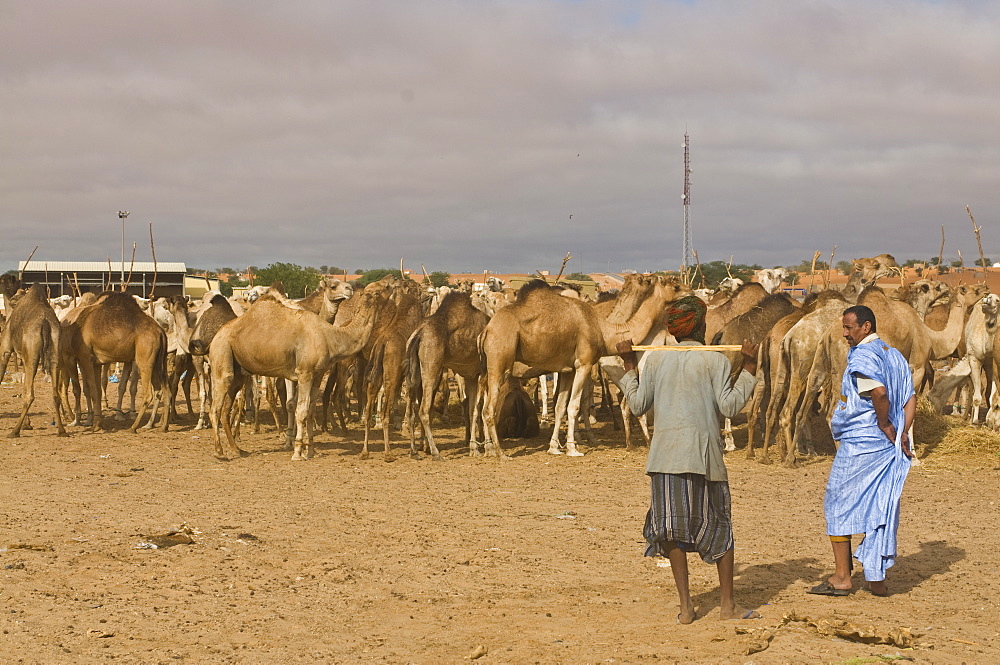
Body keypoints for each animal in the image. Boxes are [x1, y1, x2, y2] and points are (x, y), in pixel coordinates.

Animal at [0, 284, 67, 436]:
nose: (12, 299)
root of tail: (45, 323)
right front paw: (28, 423)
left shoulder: (6, 348)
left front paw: (26, 424)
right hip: (55, 351)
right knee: (55, 394)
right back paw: (62, 430)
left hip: (32, 354)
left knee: (30, 395)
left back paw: (15, 431)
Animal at [61, 294, 170, 434]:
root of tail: (161, 332)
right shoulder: (95, 363)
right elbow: (97, 391)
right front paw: (98, 423)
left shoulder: (85, 358)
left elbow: (92, 390)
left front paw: (95, 425)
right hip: (159, 361)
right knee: (164, 390)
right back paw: (162, 426)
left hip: (144, 359)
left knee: (148, 393)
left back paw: (133, 427)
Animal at [206, 282, 386, 460]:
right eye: (378, 291)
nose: (349, 288)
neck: (330, 336)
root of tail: (216, 336)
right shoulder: (304, 373)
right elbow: (302, 410)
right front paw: (298, 452)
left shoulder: (317, 374)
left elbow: (311, 410)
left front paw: (311, 450)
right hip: (222, 353)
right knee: (215, 408)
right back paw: (219, 452)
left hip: (238, 372)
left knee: (226, 408)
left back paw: (237, 449)